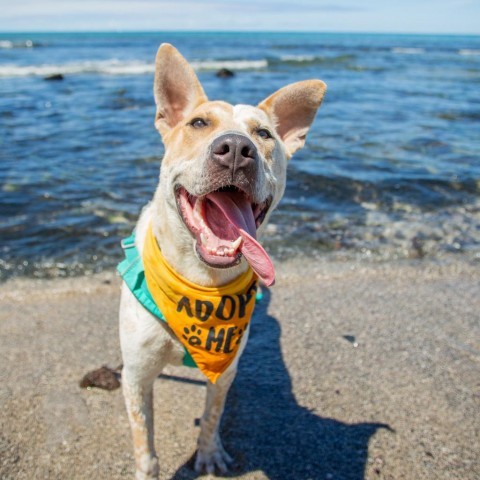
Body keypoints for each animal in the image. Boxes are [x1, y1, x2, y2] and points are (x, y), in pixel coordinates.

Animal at [118, 43, 326, 478]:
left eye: (263, 134)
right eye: (198, 123)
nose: (235, 149)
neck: (201, 281)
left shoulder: (223, 374)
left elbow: (212, 417)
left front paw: (209, 455)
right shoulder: (137, 377)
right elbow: (145, 444)